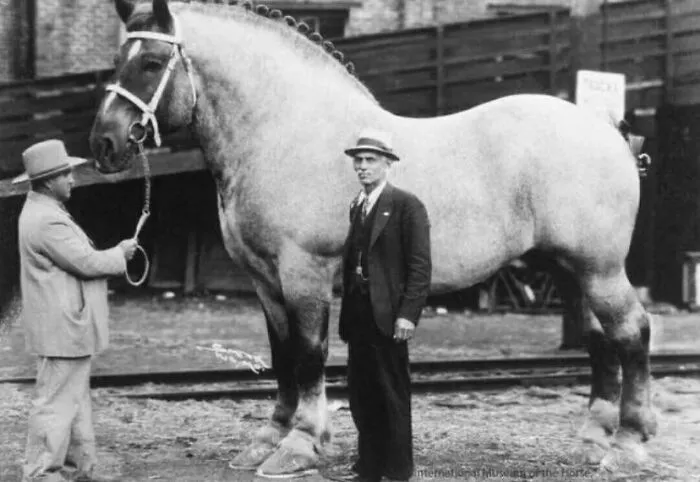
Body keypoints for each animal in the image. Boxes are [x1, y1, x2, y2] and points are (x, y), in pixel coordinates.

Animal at [89, 0, 656, 476]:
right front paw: (269, 438)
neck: (287, 131)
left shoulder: (304, 272)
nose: (104, 143)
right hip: (571, 270)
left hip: (599, 269)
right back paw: (593, 439)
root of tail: (608, 131)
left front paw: (300, 444)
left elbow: (308, 354)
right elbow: (281, 354)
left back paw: (629, 442)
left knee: (632, 332)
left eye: (152, 62)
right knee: (599, 340)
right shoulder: (265, 280)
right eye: (118, 59)